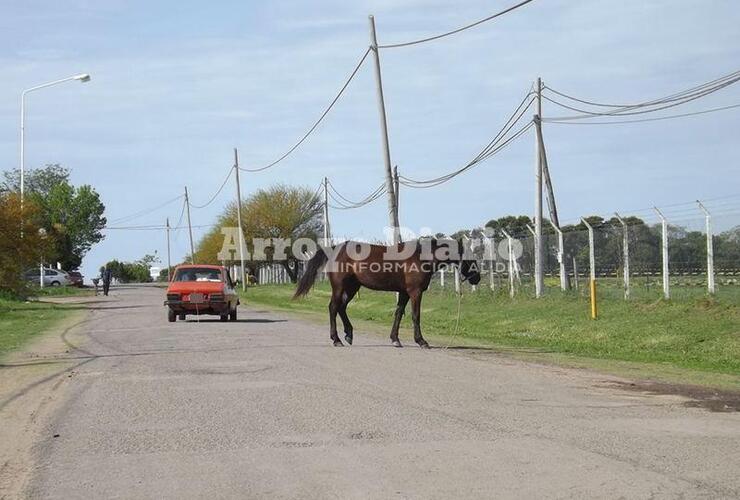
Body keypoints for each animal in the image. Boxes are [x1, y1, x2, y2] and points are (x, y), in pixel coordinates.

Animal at [292, 240, 482, 350]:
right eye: (469, 255)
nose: (477, 278)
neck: (421, 258)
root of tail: (333, 249)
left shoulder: (404, 293)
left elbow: (398, 314)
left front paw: (395, 339)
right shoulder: (415, 292)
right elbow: (415, 316)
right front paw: (421, 341)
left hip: (352, 287)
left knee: (341, 308)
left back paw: (348, 334)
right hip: (340, 287)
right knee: (333, 307)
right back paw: (336, 339)